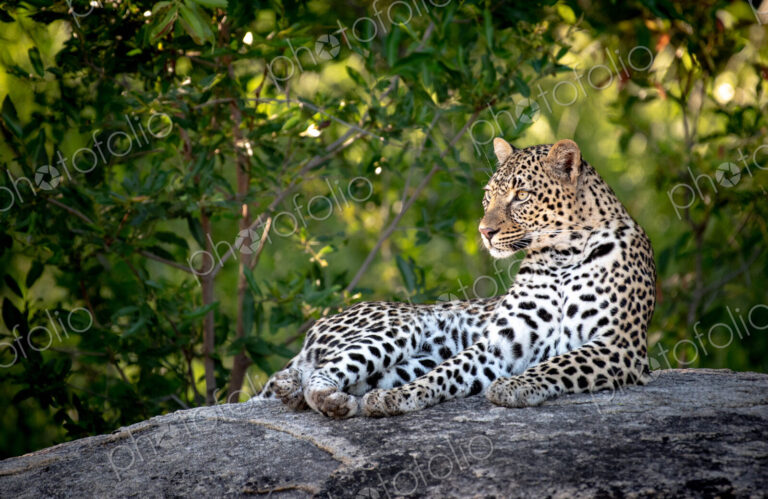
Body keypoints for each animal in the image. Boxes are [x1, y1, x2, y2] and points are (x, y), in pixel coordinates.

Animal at [251, 138, 656, 418]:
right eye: (488, 197)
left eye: (521, 195)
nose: (484, 231)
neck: (561, 257)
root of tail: (318, 326)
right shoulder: (501, 343)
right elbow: (449, 370)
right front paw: (397, 397)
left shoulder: (620, 344)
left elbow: (558, 364)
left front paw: (513, 386)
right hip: (400, 324)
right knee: (318, 373)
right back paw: (328, 399)